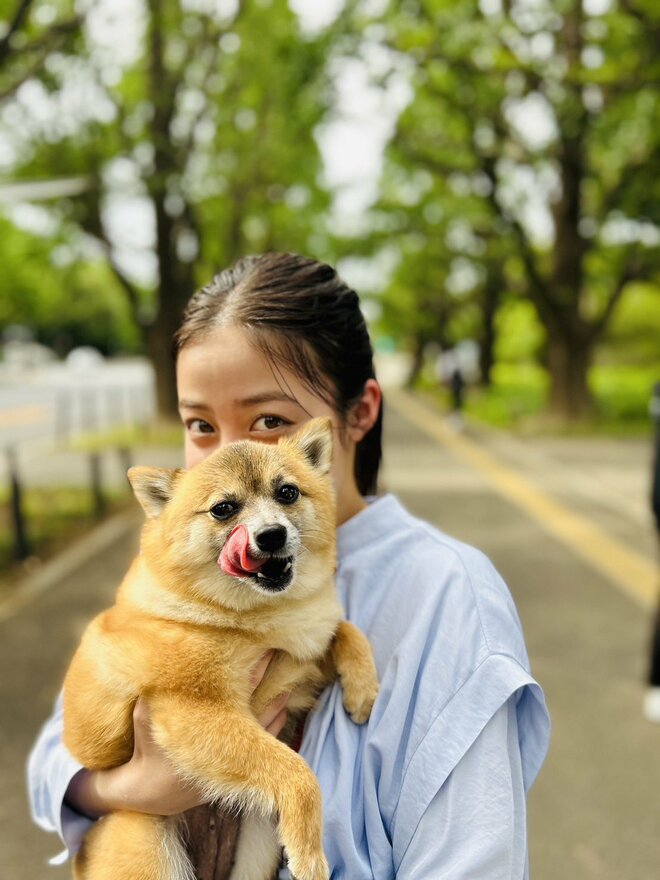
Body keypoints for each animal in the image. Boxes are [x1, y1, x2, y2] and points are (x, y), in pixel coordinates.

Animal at [63, 420, 382, 880]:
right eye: (223, 509)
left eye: (288, 492)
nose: (271, 534)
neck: (255, 619)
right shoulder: (198, 711)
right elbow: (298, 775)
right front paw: (310, 855)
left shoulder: (303, 656)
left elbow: (344, 630)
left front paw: (363, 689)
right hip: (150, 849)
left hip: (257, 843)